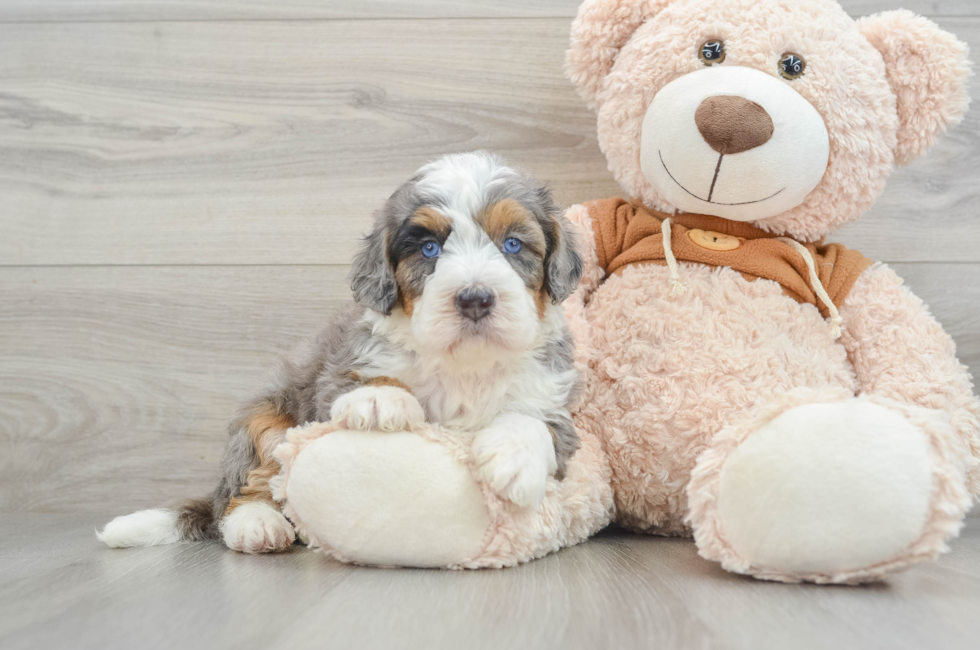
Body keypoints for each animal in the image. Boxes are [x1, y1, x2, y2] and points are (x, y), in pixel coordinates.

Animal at [99, 151, 584, 552]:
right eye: (429, 248)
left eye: (512, 244)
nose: (475, 299)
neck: (464, 363)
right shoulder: (336, 372)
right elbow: (362, 380)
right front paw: (380, 398)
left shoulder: (553, 399)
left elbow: (532, 420)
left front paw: (514, 459)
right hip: (265, 421)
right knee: (243, 491)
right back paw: (257, 525)